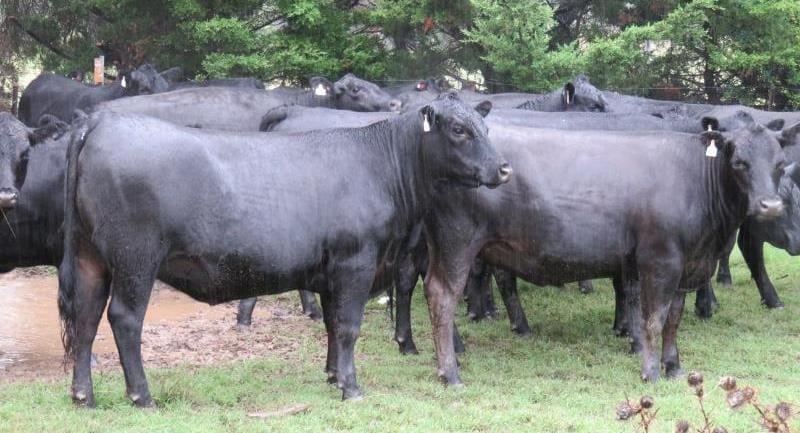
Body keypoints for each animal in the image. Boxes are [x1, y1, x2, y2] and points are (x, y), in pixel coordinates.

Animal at [56, 92, 510, 404]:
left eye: (485, 128)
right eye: (459, 130)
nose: (503, 168)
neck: (381, 166)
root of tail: (99, 122)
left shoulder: (329, 270)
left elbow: (332, 325)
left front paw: (333, 376)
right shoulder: (356, 261)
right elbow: (349, 326)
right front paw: (351, 388)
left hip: (89, 256)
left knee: (85, 317)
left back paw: (83, 396)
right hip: (135, 258)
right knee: (124, 319)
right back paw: (142, 395)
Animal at [422, 119, 792, 384]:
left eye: (779, 163)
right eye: (740, 162)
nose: (771, 205)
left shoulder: (688, 266)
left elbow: (674, 319)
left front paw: (674, 367)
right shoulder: (659, 260)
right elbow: (653, 320)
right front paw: (651, 371)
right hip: (457, 242)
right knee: (443, 295)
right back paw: (450, 372)